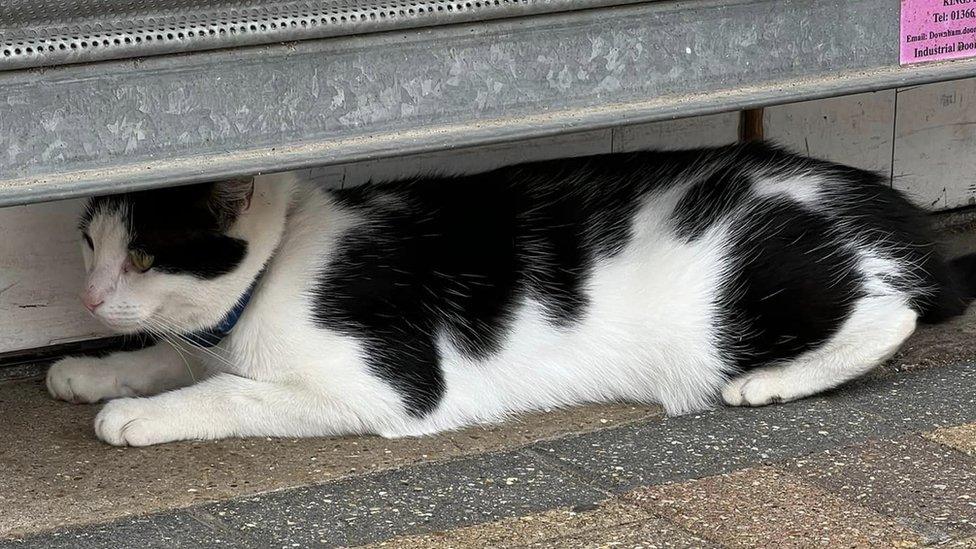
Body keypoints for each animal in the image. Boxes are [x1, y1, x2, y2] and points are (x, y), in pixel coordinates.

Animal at [45, 141, 976, 446]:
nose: (88, 299)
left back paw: (771, 381)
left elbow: (232, 390)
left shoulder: (390, 383)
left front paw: (135, 415)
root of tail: (884, 200)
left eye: (145, 257)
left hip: (751, 292)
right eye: (91, 243)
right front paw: (93, 372)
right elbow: (170, 359)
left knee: (896, 310)